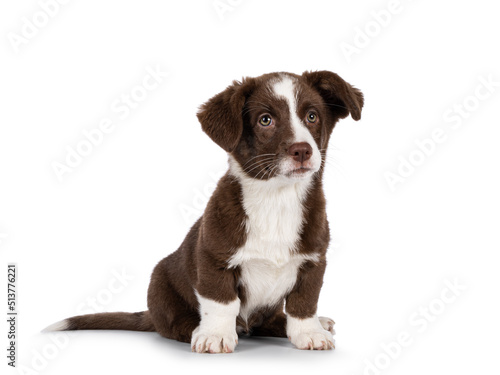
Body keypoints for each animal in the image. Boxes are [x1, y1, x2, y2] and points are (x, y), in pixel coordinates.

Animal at [44, 71, 364, 356]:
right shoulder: (213, 258)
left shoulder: (314, 261)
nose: (302, 151)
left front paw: (309, 332)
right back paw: (198, 329)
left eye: (312, 116)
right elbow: (221, 301)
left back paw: (314, 324)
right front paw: (215, 336)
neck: (277, 199)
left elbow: (304, 302)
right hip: (160, 283)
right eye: (265, 120)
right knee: (175, 324)